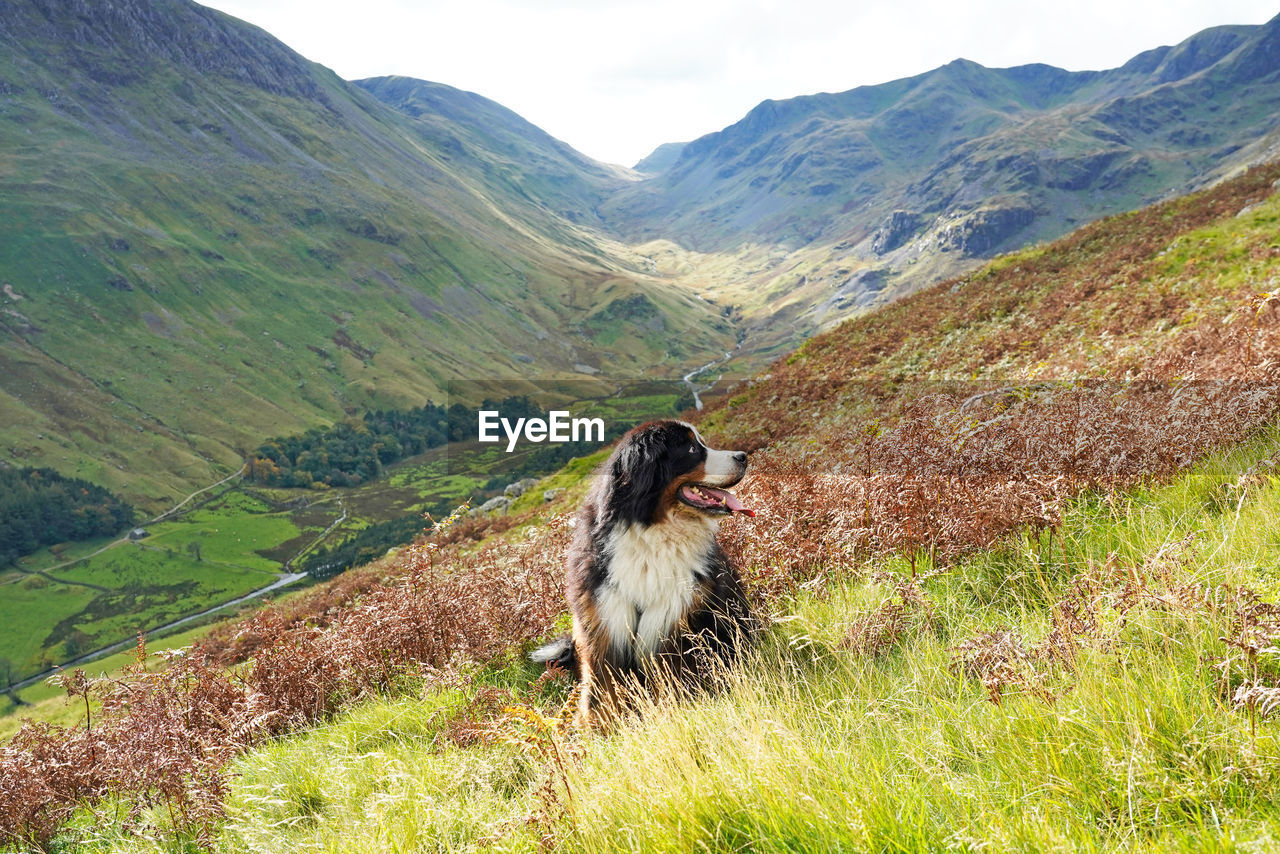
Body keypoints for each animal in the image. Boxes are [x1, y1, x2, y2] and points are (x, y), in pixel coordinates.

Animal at [532, 417, 752, 727]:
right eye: (692, 449)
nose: (743, 456)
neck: (653, 532)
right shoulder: (605, 625)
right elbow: (602, 693)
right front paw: (595, 731)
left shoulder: (675, 623)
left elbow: (673, 683)